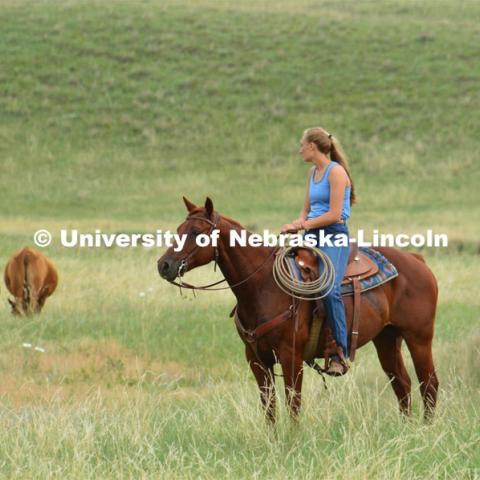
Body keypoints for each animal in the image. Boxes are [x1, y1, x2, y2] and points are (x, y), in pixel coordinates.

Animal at [158, 197, 438, 422]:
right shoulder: (256, 359)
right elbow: (269, 407)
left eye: (196, 233)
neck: (264, 286)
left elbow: (293, 403)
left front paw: (292, 442)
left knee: (429, 384)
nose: (164, 265)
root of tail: (417, 260)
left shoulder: (291, 356)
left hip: (419, 338)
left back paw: (426, 430)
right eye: (179, 230)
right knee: (402, 384)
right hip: (387, 339)